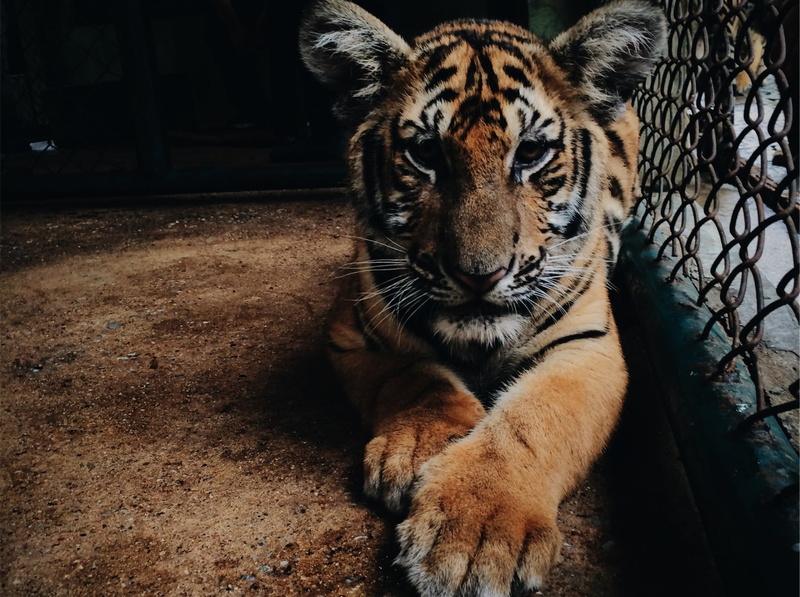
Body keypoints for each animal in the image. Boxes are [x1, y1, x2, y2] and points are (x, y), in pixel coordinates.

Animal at [299, 1, 666, 595]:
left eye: (531, 152)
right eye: (425, 153)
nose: (479, 276)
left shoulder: (588, 346)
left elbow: (533, 421)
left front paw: (475, 532)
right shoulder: (352, 331)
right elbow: (414, 376)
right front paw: (422, 448)